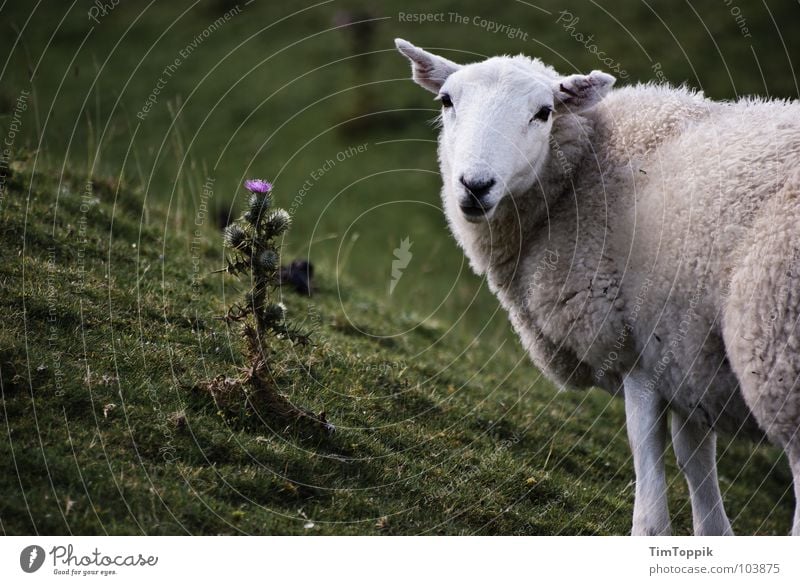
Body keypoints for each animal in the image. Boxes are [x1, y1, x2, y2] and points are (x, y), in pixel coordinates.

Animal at [396, 38, 800, 536]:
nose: (475, 185)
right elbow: (695, 462)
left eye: (544, 112)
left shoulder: (637, 348)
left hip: (783, 354)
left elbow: (650, 504)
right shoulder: (686, 352)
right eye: (446, 101)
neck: (584, 177)